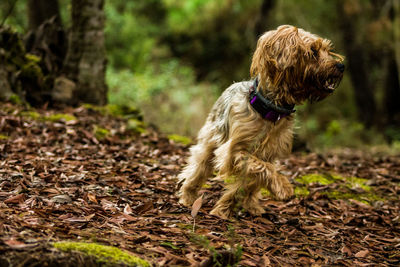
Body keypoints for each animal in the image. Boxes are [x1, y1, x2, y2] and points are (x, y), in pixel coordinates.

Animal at [177, 24, 344, 220]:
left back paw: (252, 206)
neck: (271, 110)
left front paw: (224, 209)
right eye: (313, 52)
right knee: (197, 169)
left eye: (327, 49)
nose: (341, 65)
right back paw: (187, 197)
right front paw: (283, 188)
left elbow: (250, 179)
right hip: (210, 142)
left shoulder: (268, 153)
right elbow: (262, 169)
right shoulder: (235, 151)